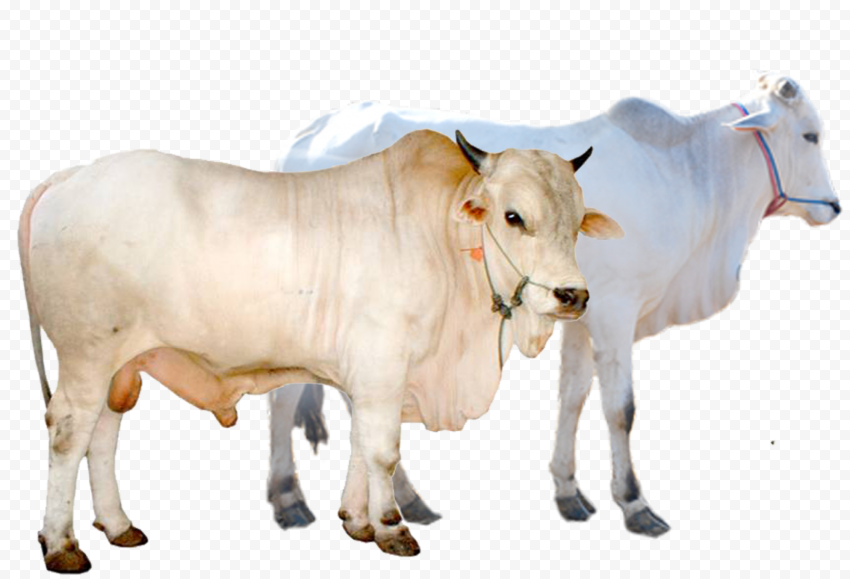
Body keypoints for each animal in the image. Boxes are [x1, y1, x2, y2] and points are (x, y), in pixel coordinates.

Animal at [19, 129, 624, 572]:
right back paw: (62, 544)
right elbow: (383, 451)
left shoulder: (372, 378)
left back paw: (118, 526)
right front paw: (392, 528)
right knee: (69, 435)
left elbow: (361, 445)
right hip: (85, 356)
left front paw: (357, 521)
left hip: (121, 365)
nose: (572, 295)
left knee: (102, 435)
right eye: (513, 216)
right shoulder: (383, 368)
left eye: (577, 222)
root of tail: (70, 175)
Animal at [266, 74, 840, 538]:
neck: (684, 172)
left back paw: (407, 501)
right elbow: (621, 409)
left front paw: (569, 493)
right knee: (287, 395)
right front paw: (634, 503)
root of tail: (302, 142)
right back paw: (289, 498)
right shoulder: (617, 312)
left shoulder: (583, 316)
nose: (834, 207)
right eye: (810, 135)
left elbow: (573, 399)